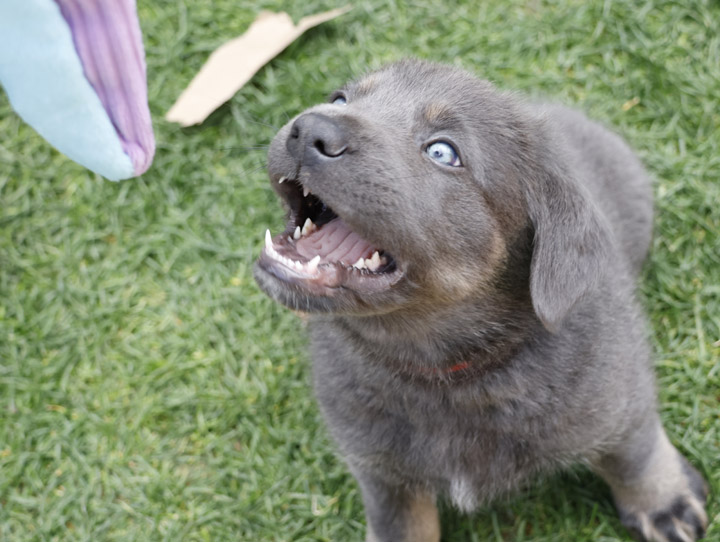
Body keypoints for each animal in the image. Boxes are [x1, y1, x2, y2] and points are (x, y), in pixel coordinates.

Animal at [255, 60, 708, 542]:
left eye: (442, 152)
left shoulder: (618, 391)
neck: (445, 376)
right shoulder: (380, 470)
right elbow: (399, 524)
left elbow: (633, 452)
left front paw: (665, 501)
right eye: (340, 99)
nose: (310, 129)